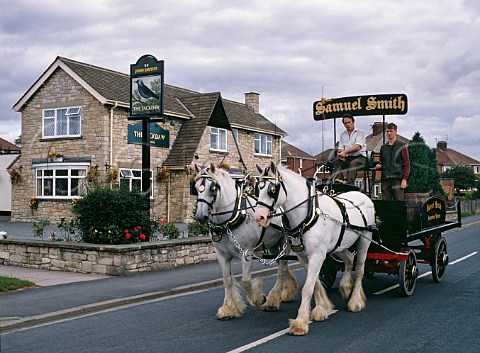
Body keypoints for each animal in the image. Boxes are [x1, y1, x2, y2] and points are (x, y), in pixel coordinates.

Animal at [190, 164, 296, 318]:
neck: (229, 220)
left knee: (281, 270)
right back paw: (287, 292)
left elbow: (245, 280)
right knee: (284, 267)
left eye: (213, 188)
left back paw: (272, 300)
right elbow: (227, 280)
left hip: (284, 244)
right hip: (274, 246)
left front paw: (259, 299)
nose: (200, 216)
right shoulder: (221, 255)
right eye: (196, 187)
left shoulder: (246, 253)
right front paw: (228, 309)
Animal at [253, 161, 376, 334]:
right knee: (349, 260)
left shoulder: (317, 255)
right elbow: (315, 283)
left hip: (365, 241)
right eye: (258, 188)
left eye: (272, 190)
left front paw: (300, 323)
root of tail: (365, 196)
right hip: (340, 246)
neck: (309, 214)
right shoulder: (304, 257)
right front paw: (322, 308)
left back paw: (355, 301)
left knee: (359, 270)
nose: (259, 217)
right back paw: (346, 287)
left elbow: (307, 288)